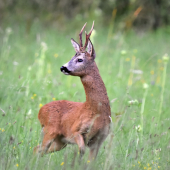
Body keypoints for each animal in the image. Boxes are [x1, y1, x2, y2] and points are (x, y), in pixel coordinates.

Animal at [34, 21, 112, 160]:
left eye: (80, 59)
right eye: (72, 56)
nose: (63, 67)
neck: (97, 112)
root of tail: (40, 110)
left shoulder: (100, 139)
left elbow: (91, 160)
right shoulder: (75, 130)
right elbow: (81, 150)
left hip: (60, 141)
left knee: (37, 149)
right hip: (50, 130)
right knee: (39, 149)